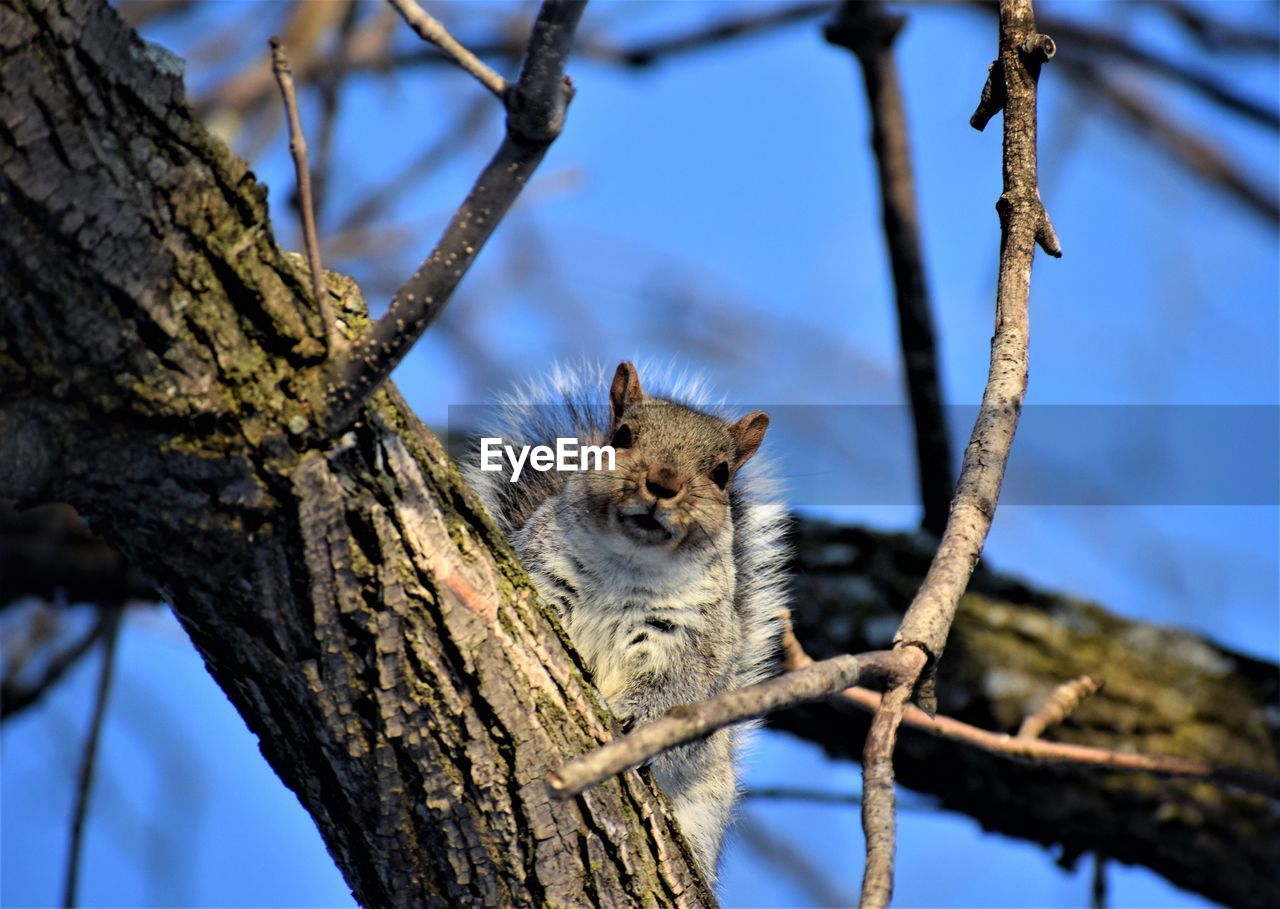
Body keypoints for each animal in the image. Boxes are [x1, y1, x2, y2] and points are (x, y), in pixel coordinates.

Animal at [468, 363, 788, 880]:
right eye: (621, 437)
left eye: (721, 474)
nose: (662, 483)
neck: (629, 563)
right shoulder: (538, 576)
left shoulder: (696, 644)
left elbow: (677, 695)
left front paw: (634, 718)